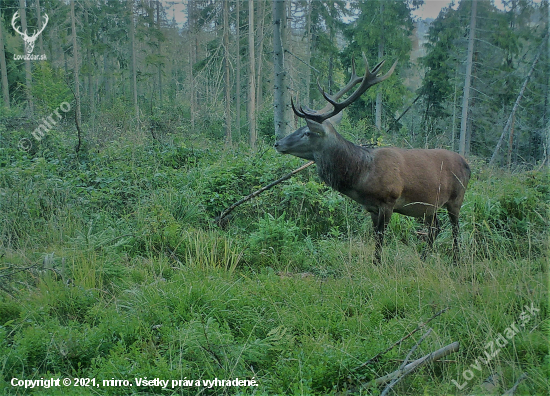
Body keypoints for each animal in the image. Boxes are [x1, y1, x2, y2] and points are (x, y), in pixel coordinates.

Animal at [274, 52, 472, 262]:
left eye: (307, 132)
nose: (278, 143)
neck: (361, 176)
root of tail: (468, 166)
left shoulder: (388, 201)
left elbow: (380, 239)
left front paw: (379, 263)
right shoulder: (371, 208)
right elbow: (375, 238)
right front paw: (376, 262)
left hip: (456, 198)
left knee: (455, 229)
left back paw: (456, 260)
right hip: (429, 205)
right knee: (435, 228)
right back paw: (424, 258)